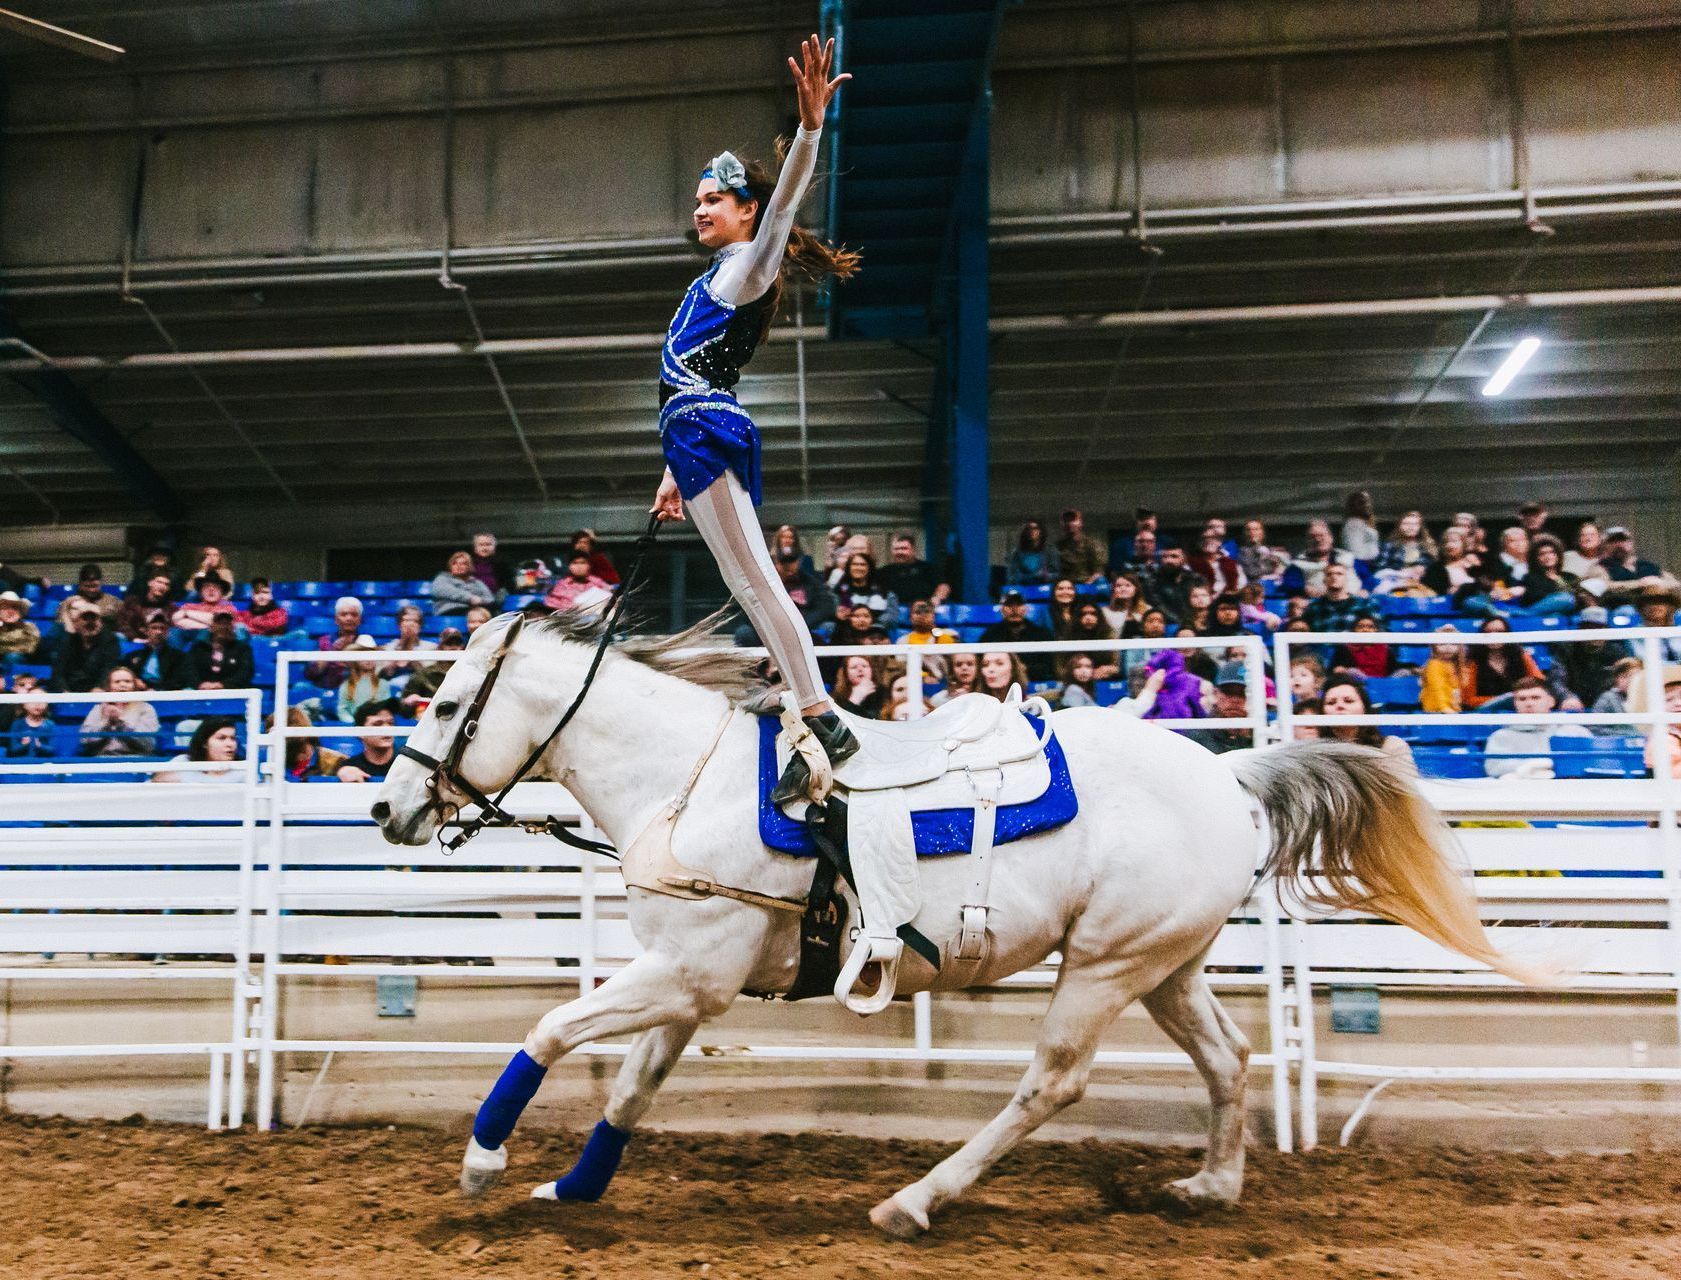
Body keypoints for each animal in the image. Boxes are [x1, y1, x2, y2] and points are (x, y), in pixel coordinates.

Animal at [374, 615, 1539, 1231]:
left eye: (446, 705)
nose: (389, 808)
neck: (685, 784)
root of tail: (1230, 770)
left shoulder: (681, 974)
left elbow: (549, 1031)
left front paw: (481, 1161)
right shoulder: (693, 977)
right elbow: (628, 1085)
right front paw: (573, 1183)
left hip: (1103, 966)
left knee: (1053, 1082)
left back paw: (915, 1199)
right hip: (1164, 964)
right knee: (1229, 1056)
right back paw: (1210, 1180)